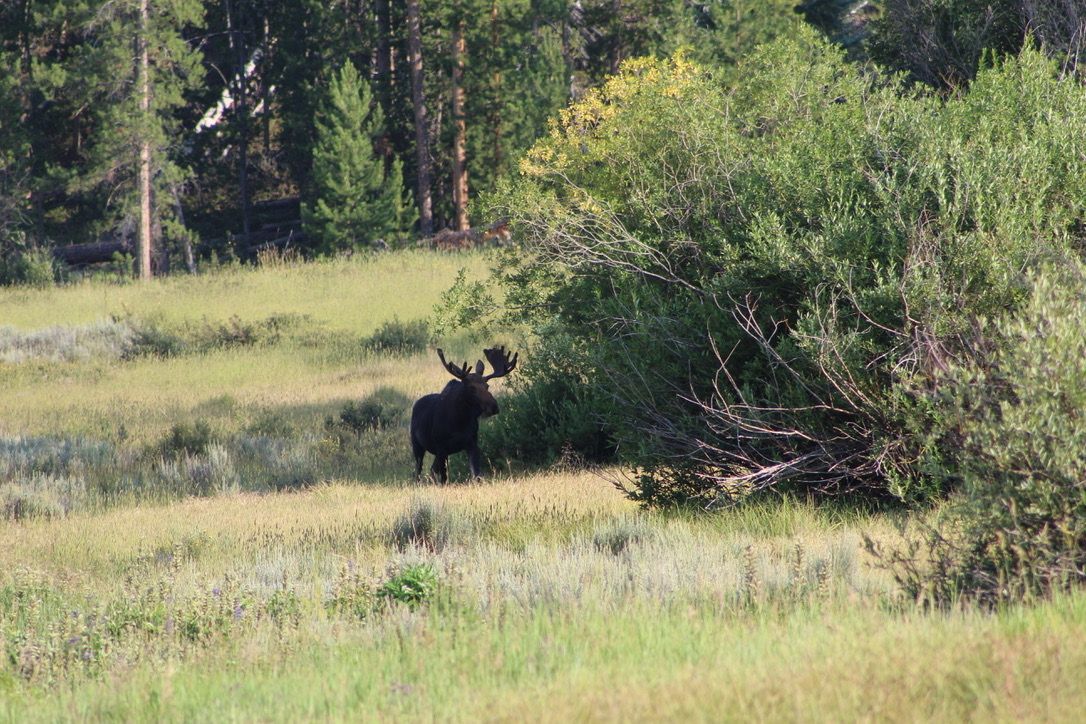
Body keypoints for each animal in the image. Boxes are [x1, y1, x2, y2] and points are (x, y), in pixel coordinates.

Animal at [410, 346, 518, 483]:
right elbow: (444, 480)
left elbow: (476, 475)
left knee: (431, 470)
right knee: (418, 472)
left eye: (487, 386)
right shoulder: (441, 447)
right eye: (471, 388)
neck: (460, 420)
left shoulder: (472, 443)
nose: (494, 407)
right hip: (417, 445)